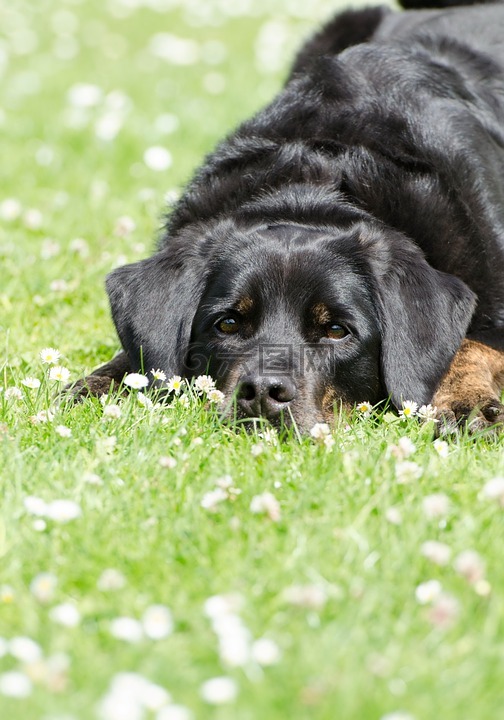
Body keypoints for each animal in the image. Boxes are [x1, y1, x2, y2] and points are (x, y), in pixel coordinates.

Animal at [74, 0, 504, 434]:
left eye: (336, 331)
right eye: (227, 324)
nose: (264, 391)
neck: (311, 187)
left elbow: (467, 346)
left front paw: (466, 402)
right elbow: (137, 356)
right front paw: (95, 387)